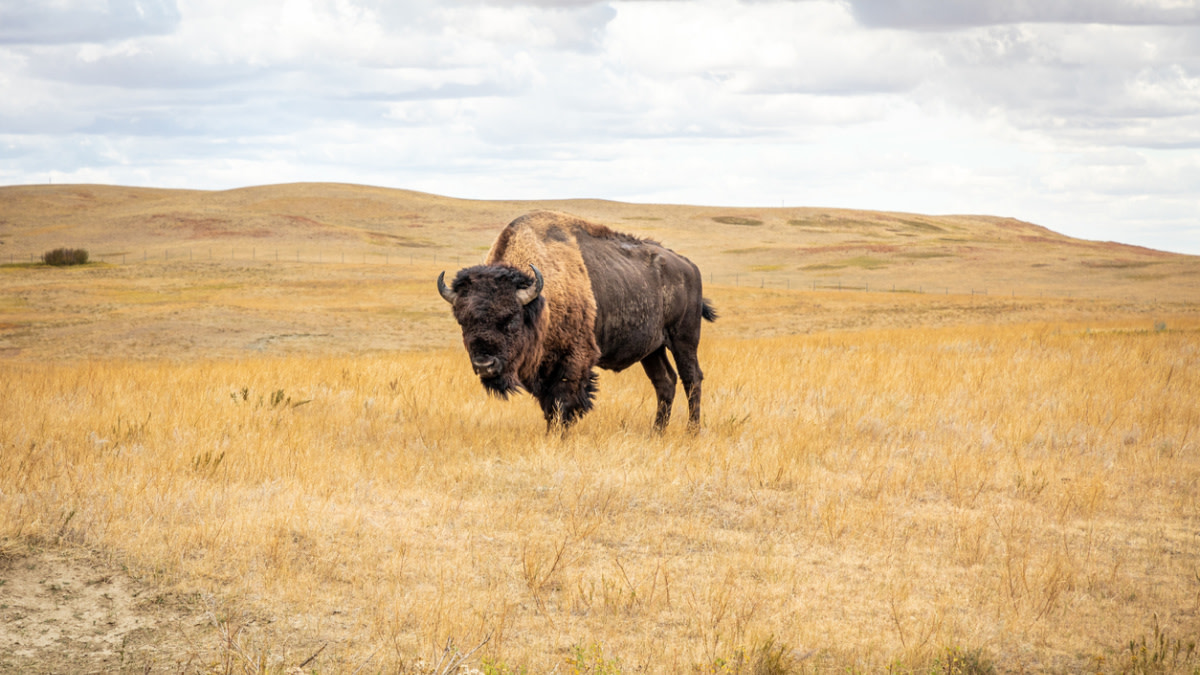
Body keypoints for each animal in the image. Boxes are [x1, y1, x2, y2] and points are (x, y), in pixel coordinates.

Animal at [441, 211, 720, 429]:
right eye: (463, 321)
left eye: (510, 319)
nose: (484, 365)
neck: (540, 299)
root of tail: (688, 266)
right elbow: (549, 406)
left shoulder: (574, 359)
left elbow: (563, 402)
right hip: (652, 349)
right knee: (665, 382)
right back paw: (657, 432)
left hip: (683, 339)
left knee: (691, 379)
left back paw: (692, 431)